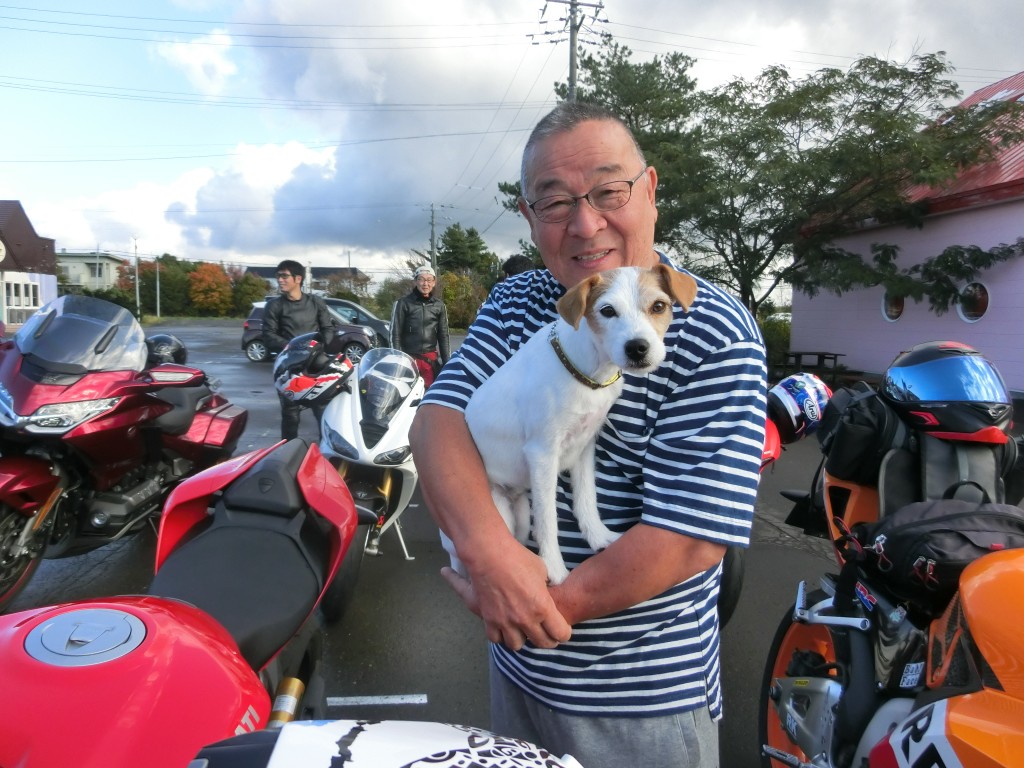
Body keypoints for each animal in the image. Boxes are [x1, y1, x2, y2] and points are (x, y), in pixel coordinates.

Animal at [445, 264, 698, 584]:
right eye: (607, 311)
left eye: (659, 306)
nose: (637, 348)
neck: (588, 372)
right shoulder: (542, 453)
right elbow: (548, 521)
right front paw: (555, 570)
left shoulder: (584, 445)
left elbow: (586, 498)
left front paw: (599, 537)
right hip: (497, 515)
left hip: (519, 518)